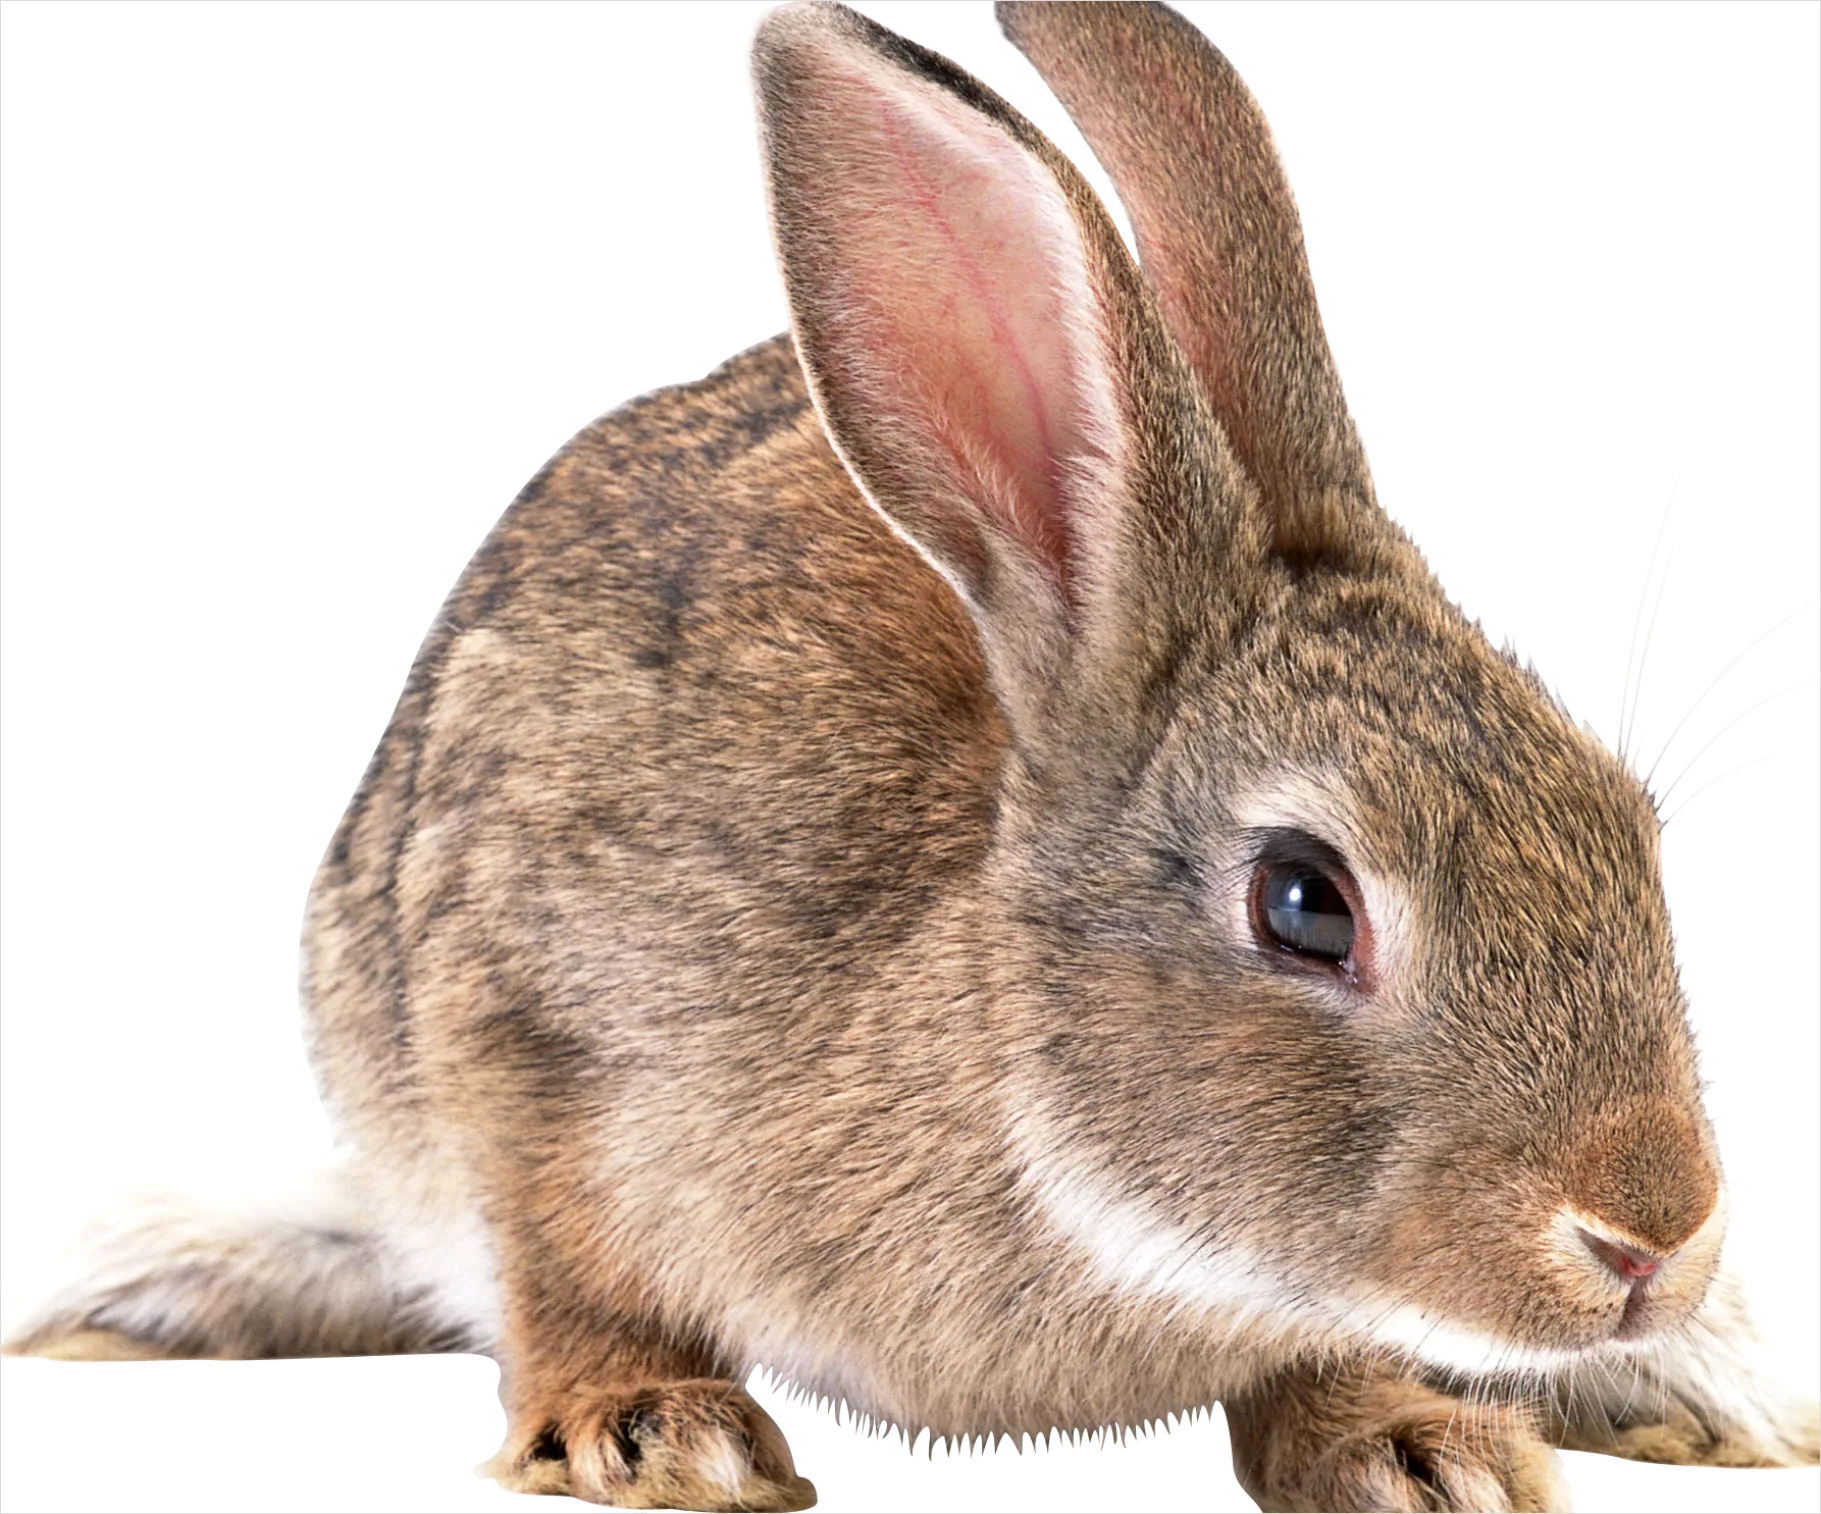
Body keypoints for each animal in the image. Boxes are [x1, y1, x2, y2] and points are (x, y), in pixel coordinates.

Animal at [4, 4, 1815, 1511]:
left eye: (1628, 824)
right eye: (1306, 902)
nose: (1654, 1232)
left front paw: (1421, 1444)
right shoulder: (515, 1021)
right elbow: (559, 1268)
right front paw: (652, 1430)